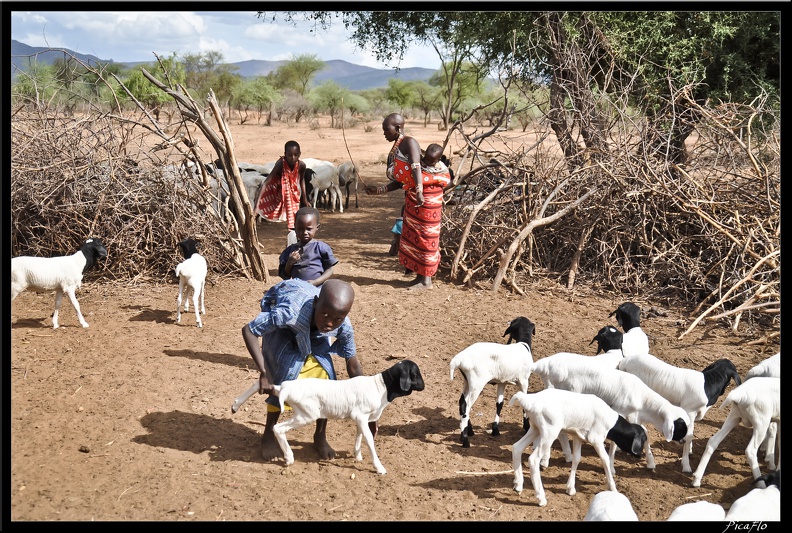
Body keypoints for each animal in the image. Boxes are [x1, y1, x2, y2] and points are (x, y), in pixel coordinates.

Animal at [270, 358, 424, 474]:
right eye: (415, 375)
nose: (423, 386)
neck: (381, 388)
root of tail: (284, 388)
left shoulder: (360, 418)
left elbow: (359, 435)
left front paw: (358, 455)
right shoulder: (361, 415)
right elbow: (369, 439)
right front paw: (379, 467)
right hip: (306, 414)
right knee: (278, 428)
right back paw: (289, 458)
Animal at [448, 318, 536, 446]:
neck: (523, 345)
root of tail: (459, 359)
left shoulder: (502, 382)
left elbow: (499, 404)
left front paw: (495, 430)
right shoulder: (524, 381)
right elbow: (524, 403)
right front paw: (526, 427)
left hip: (467, 381)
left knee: (462, 403)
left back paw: (469, 432)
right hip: (477, 383)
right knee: (467, 406)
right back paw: (465, 441)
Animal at [510, 386, 648, 508]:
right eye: (642, 440)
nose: (639, 455)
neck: (610, 422)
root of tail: (531, 401)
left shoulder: (578, 437)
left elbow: (576, 459)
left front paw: (570, 488)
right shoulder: (596, 439)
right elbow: (605, 459)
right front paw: (613, 488)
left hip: (535, 428)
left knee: (517, 448)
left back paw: (518, 485)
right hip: (549, 432)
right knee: (533, 460)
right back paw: (541, 498)